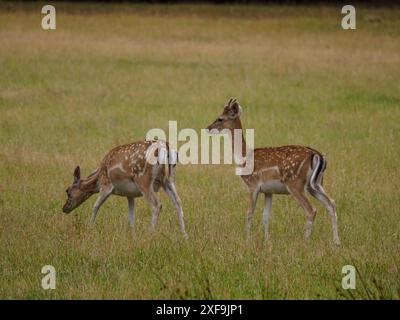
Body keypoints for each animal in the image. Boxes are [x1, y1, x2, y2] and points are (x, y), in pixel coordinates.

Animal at [206, 97, 340, 245]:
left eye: (220, 118)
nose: (208, 128)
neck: (244, 156)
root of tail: (317, 155)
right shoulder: (268, 191)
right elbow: (265, 216)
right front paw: (266, 241)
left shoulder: (253, 184)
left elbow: (249, 213)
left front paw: (247, 239)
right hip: (316, 184)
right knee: (331, 204)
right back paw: (336, 242)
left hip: (295, 183)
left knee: (311, 210)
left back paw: (305, 242)